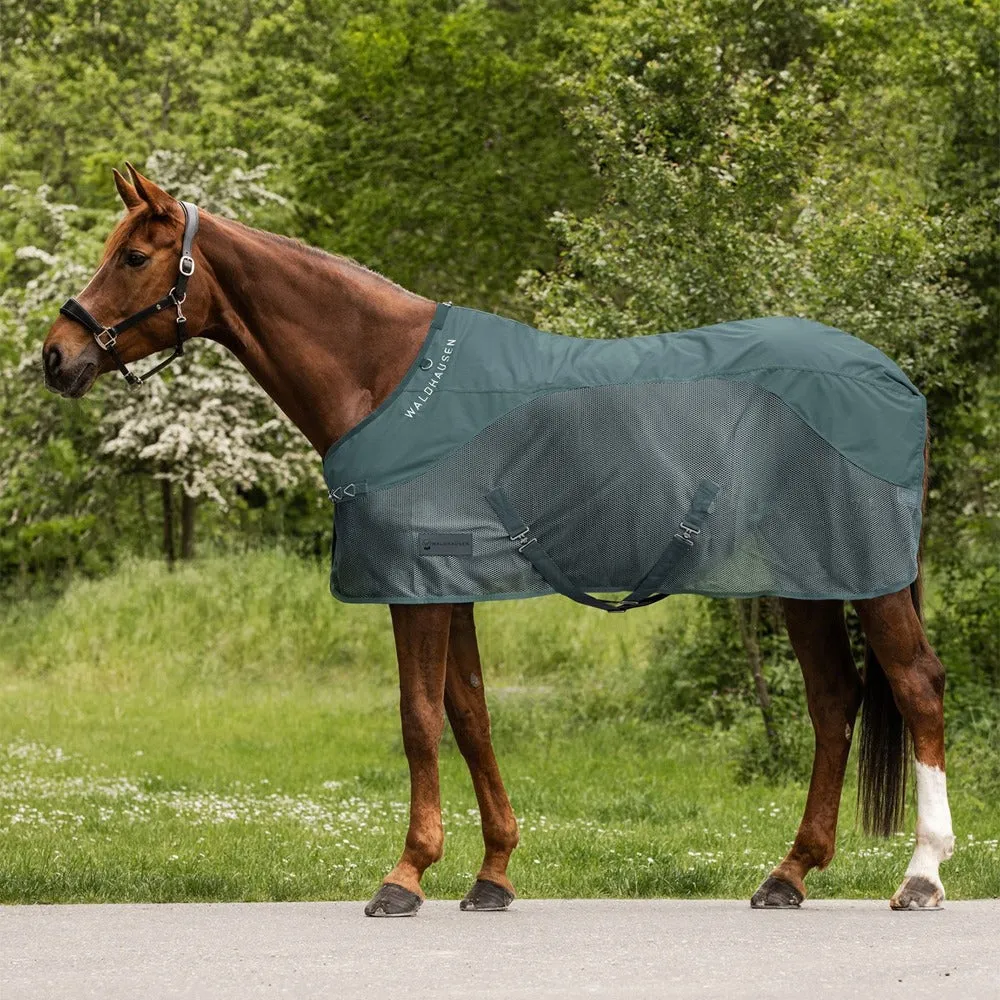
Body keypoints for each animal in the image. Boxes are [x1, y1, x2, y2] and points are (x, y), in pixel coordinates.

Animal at [41, 165, 955, 915]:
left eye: (134, 257)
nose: (56, 355)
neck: (385, 377)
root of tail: (891, 377)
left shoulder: (414, 585)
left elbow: (418, 718)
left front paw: (405, 876)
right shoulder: (450, 588)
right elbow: (470, 713)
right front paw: (492, 873)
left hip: (867, 579)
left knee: (916, 687)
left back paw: (922, 875)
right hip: (806, 580)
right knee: (835, 701)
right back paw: (789, 874)